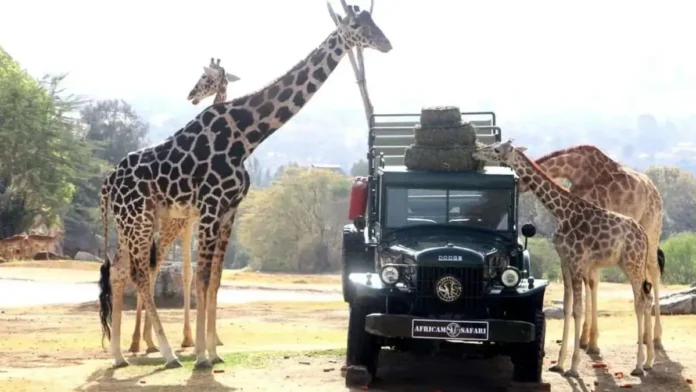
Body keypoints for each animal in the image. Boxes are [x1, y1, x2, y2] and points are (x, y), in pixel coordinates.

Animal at [129, 59, 241, 356]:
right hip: (165, 226)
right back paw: (141, 341)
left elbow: (193, 273)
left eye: (206, 78)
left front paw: (204, 339)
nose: (192, 96)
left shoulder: (198, 220)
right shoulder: (191, 220)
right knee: (152, 267)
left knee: (151, 266)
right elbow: (189, 272)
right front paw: (192, 339)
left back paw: (147, 340)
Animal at [474, 140, 652, 376]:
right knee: (646, 299)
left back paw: (639, 366)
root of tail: (644, 236)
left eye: (496, 149)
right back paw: (649, 361)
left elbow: (577, 309)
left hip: (633, 263)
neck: (561, 212)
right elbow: (567, 307)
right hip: (629, 263)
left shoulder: (576, 259)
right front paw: (559, 364)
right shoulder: (565, 261)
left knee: (640, 302)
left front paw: (574, 367)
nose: (477, 151)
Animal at [524, 145, 668, 352]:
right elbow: (590, 282)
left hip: (652, 227)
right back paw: (645, 337)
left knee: (654, 270)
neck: (576, 172)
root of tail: (655, 190)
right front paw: (586, 339)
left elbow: (592, 282)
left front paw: (591, 341)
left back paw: (656, 337)